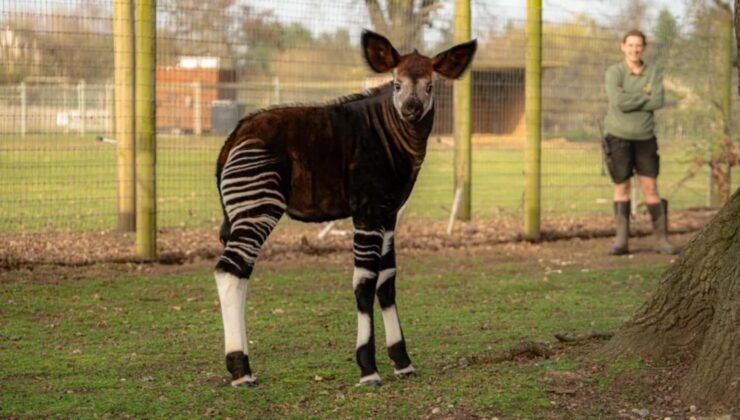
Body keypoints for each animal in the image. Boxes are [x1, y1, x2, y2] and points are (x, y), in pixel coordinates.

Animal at [214, 30, 477, 387]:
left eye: (430, 86)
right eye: (396, 84)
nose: (410, 109)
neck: (396, 137)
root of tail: (235, 135)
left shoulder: (388, 214)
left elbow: (387, 281)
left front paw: (402, 362)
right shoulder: (367, 211)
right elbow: (364, 282)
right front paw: (368, 368)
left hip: (247, 210)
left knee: (240, 274)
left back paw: (243, 367)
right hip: (259, 207)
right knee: (229, 271)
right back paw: (241, 370)